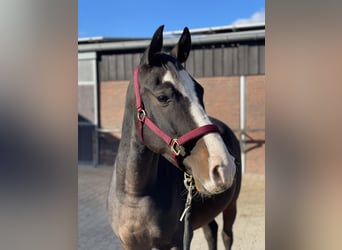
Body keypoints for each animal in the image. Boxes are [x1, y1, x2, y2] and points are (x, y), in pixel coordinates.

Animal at [108, 25, 242, 250]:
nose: (223, 167)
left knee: (226, 235)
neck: (135, 194)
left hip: (231, 205)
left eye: (201, 91)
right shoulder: (130, 245)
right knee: (211, 231)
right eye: (162, 97)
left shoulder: (175, 243)